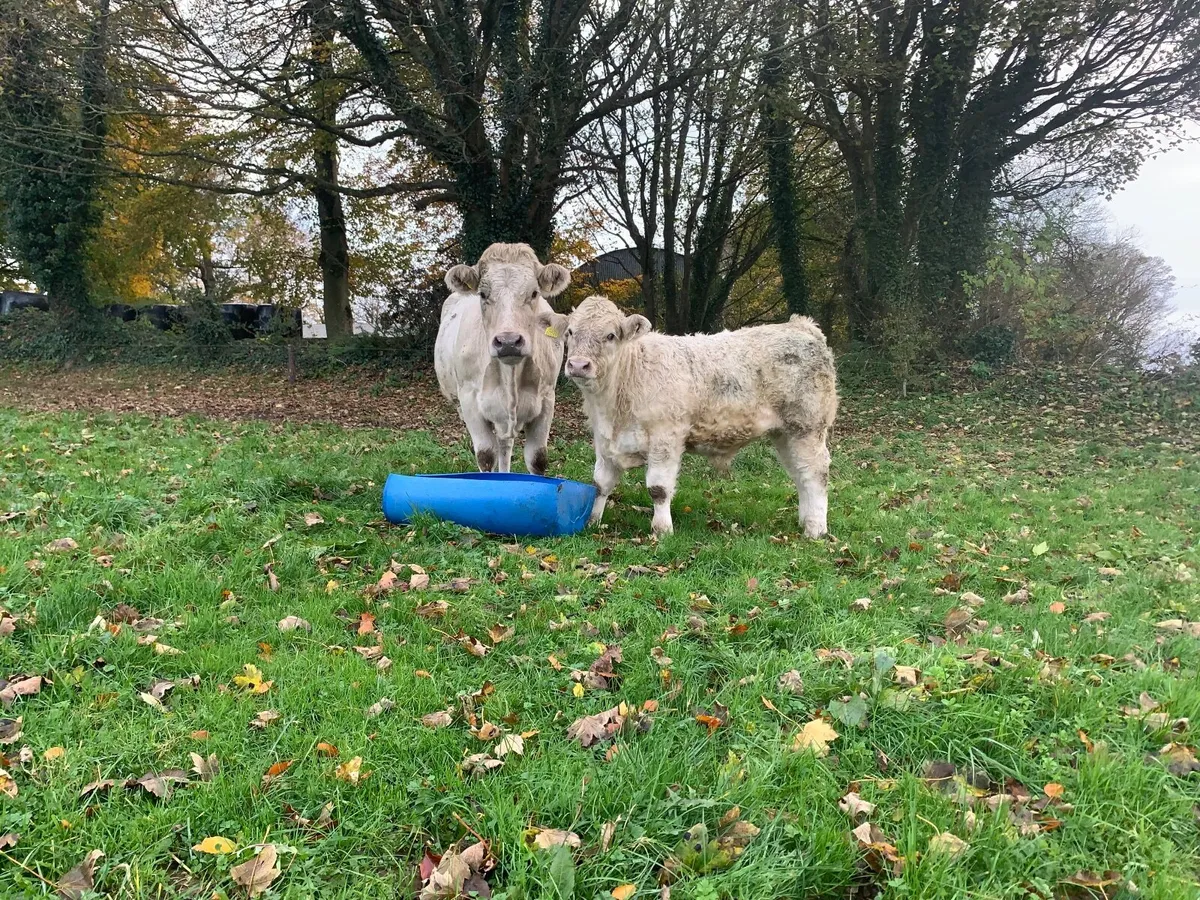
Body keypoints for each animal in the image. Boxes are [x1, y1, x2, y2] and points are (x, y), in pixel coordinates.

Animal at [434, 243, 572, 475]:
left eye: (534, 293)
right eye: (482, 294)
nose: (508, 341)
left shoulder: (546, 400)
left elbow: (538, 458)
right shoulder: (469, 401)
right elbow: (486, 456)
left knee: (505, 445)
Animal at [560, 295, 838, 537]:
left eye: (610, 335)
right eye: (570, 332)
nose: (578, 364)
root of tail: (801, 325)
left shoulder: (666, 436)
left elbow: (658, 489)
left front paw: (662, 531)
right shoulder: (604, 439)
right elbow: (600, 484)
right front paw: (592, 522)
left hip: (807, 426)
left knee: (815, 473)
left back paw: (816, 529)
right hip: (784, 434)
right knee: (800, 474)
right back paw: (805, 520)